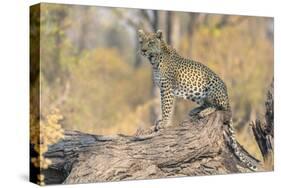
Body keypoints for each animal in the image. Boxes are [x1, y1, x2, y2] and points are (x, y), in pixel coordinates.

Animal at [137, 29, 258, 170]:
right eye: (141, 42)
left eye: (151, 42)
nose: (143, 50)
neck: (155, 60)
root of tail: (227, 98)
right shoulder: (162, 88)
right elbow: (163, 106)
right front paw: (161, 121)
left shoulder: (167, 88)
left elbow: (166, 107)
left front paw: (164, 122)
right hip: (196, 94)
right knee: (206, 103)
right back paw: (195, 110)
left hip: (212, 87)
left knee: (218, 107)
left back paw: (204, 112)